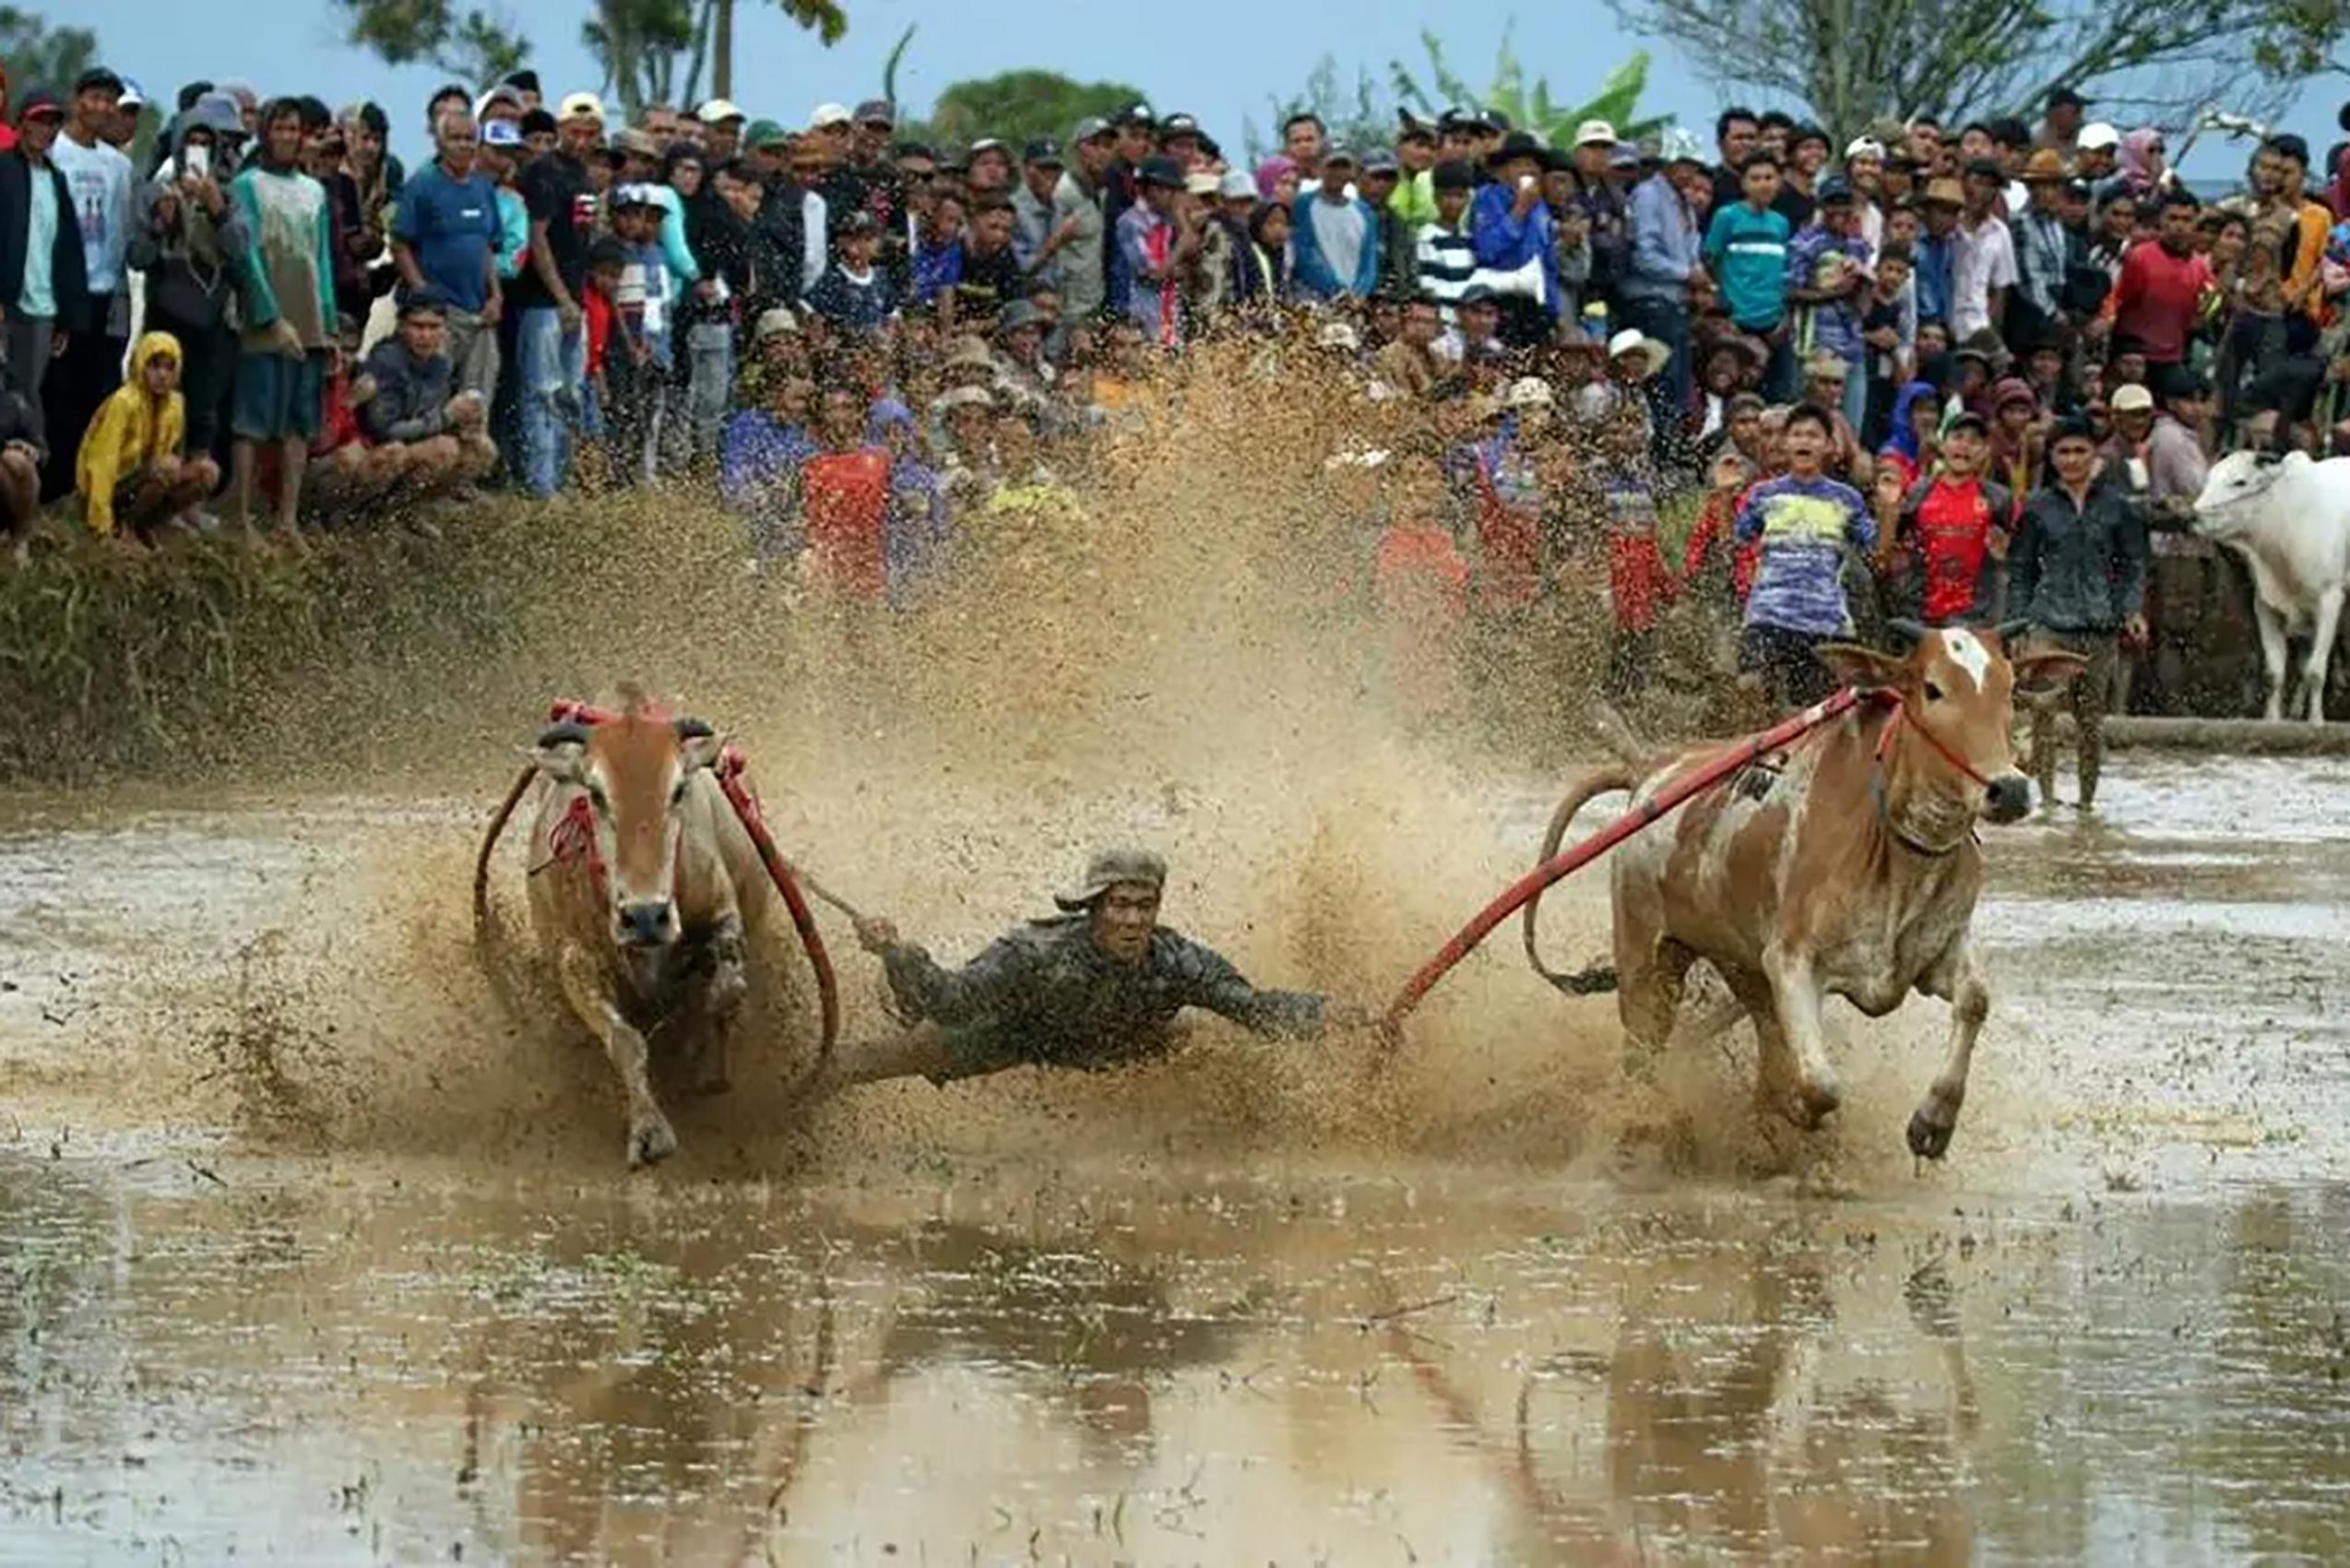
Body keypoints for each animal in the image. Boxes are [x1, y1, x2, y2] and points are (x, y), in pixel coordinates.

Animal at [523, 691, 769, 1167]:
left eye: (678, 789)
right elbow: (625, 1041)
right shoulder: (575, 960)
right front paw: (650, 1131)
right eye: (595, 793)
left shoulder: (723, 909)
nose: (644, 916)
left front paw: (708, 1067)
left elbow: (724, 991)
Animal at [1523, 625, 2081, 1160]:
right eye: (1932, 688)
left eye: (2011, 689)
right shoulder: (1791, 961)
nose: (2010, 790)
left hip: (1739, 966)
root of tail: (1648, 770)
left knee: (1763, 1033)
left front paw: (1933, 1121)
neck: (1893, 849)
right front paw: (1797, 1109)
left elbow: (1975, 1000)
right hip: (1648, 962)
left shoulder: (1935, 952)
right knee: (1642, 1054)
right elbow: (1820, 1086)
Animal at [2191, 449, 2350, 723]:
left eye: (2240, 482)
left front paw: (2316, 721)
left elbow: (2316, 671)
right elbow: (2274, 673)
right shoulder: (2265, 605)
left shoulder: (2330, 599)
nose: (2194, 515)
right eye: (2209, 478)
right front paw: (2272, 719)